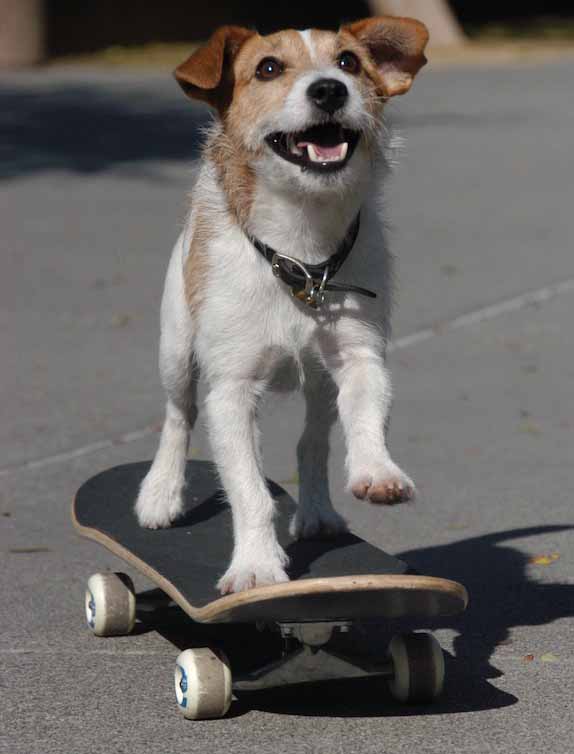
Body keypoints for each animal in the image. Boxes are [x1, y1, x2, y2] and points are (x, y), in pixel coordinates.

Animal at [136, 16, 432, 592]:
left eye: (348, 62)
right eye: (268, 68)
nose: (329, 90)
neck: (301, 254)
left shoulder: (359, 357)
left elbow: (366, 417)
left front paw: (377, 472)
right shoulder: (231, 391)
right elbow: (249, 489)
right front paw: (255, 565)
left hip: (320, 384)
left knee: (312, 441)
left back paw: (316, 509)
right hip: (175, 351)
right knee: (178, 416)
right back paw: (160, 494)